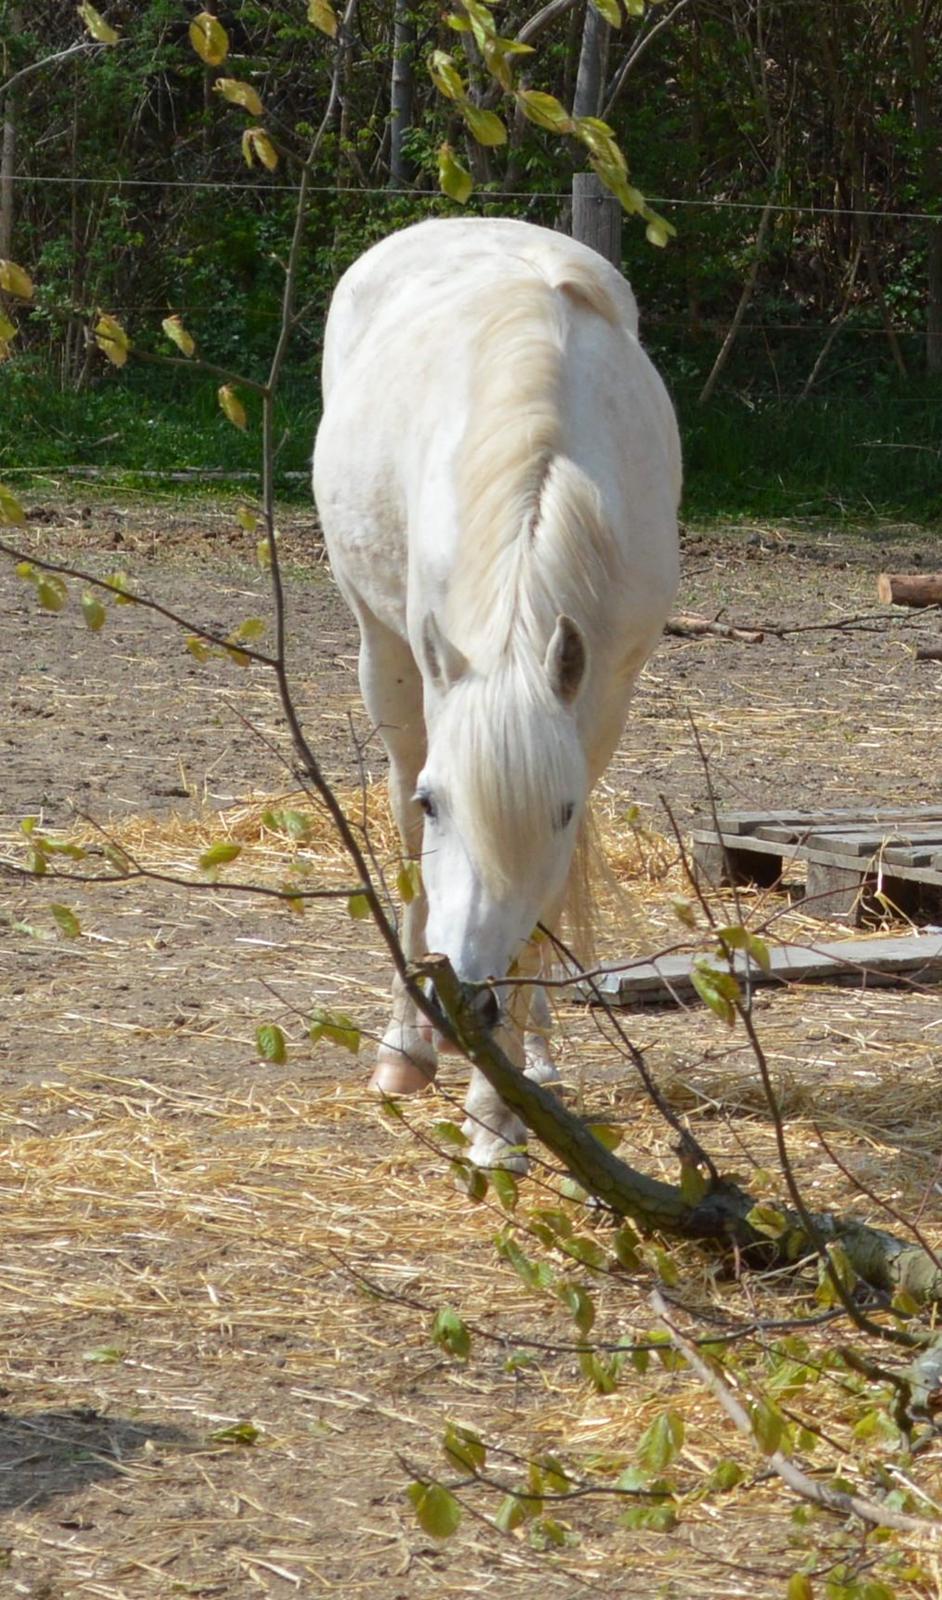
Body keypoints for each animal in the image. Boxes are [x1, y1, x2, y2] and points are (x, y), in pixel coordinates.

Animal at [311, 212, 678, 1171]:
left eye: (559, 812)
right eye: (439, 804)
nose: (459, 1008)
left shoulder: (601, 703)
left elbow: (542, 899)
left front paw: (500, 1109)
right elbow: (416, 853)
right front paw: (446, 1075)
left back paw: (537, 1053)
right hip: (386, 657)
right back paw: (404, 1053)